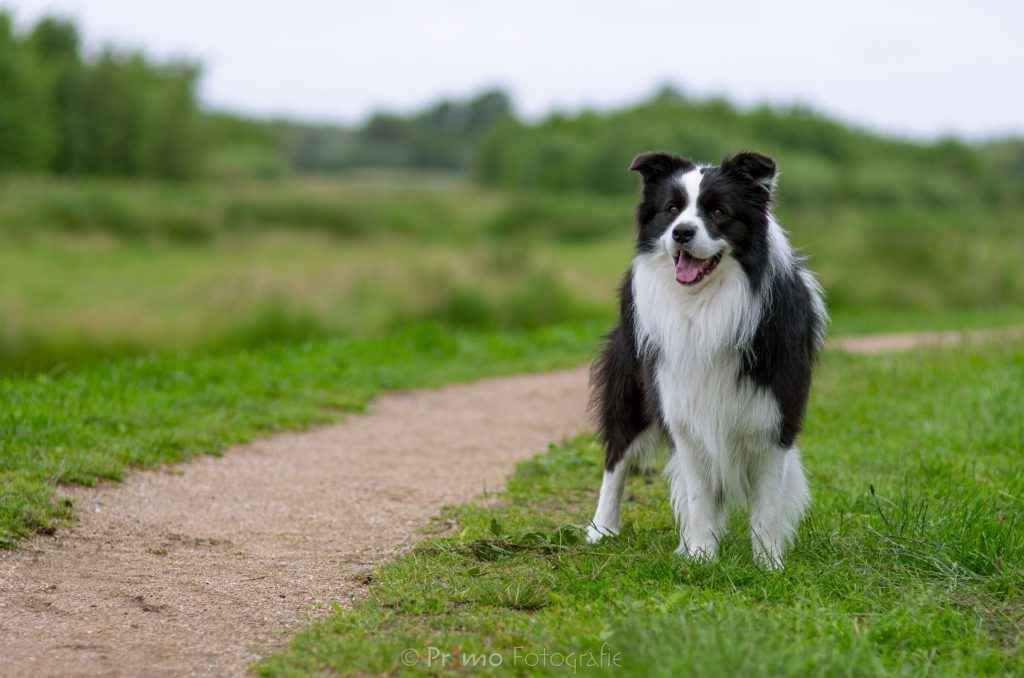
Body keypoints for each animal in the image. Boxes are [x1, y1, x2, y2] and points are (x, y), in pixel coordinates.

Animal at [589, 150, 827, 569]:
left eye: (718, 211)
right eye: (671, 209)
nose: (681, 233)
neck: (705, 306)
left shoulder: (774, 414)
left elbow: (766, 505)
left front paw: (768, 565)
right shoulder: (683, 410)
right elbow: (699, 494)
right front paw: (701, 558)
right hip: (630, 388)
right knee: (616, 457)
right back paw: (602, 529)